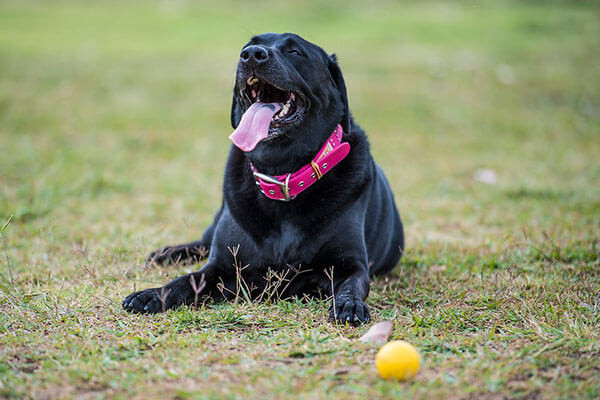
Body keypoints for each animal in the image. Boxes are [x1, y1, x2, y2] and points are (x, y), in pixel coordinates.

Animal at [122, 33, 404, 324]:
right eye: (247, 47)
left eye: (295, 51)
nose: (251, 55)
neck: (282, 176)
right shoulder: (222, 266)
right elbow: (184, 281)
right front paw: (152, 294)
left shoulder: (350, 264)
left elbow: (351, 285)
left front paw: (350, 304)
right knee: (202, 243)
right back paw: (166, 254)